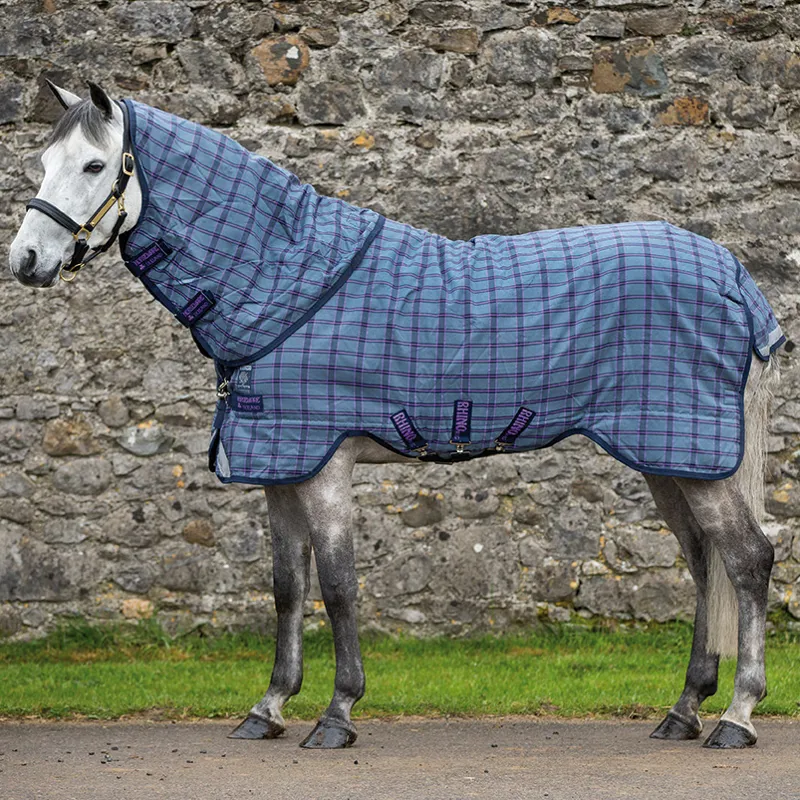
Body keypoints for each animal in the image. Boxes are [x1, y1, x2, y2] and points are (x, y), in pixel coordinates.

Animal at [9, 81, 784, 751]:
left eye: (94, 164)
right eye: (43, 161)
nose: (26, 260)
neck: (288, 282)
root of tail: (734, 277)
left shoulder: (324, 465)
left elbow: (339, 585)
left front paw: (337, 713)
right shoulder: (280, 466)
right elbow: (288, 588)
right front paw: (268, 708)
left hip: (696, 458)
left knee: (747, 560)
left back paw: (737, 716)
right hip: (669, 456)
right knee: (704, 564)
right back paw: (684, 709)